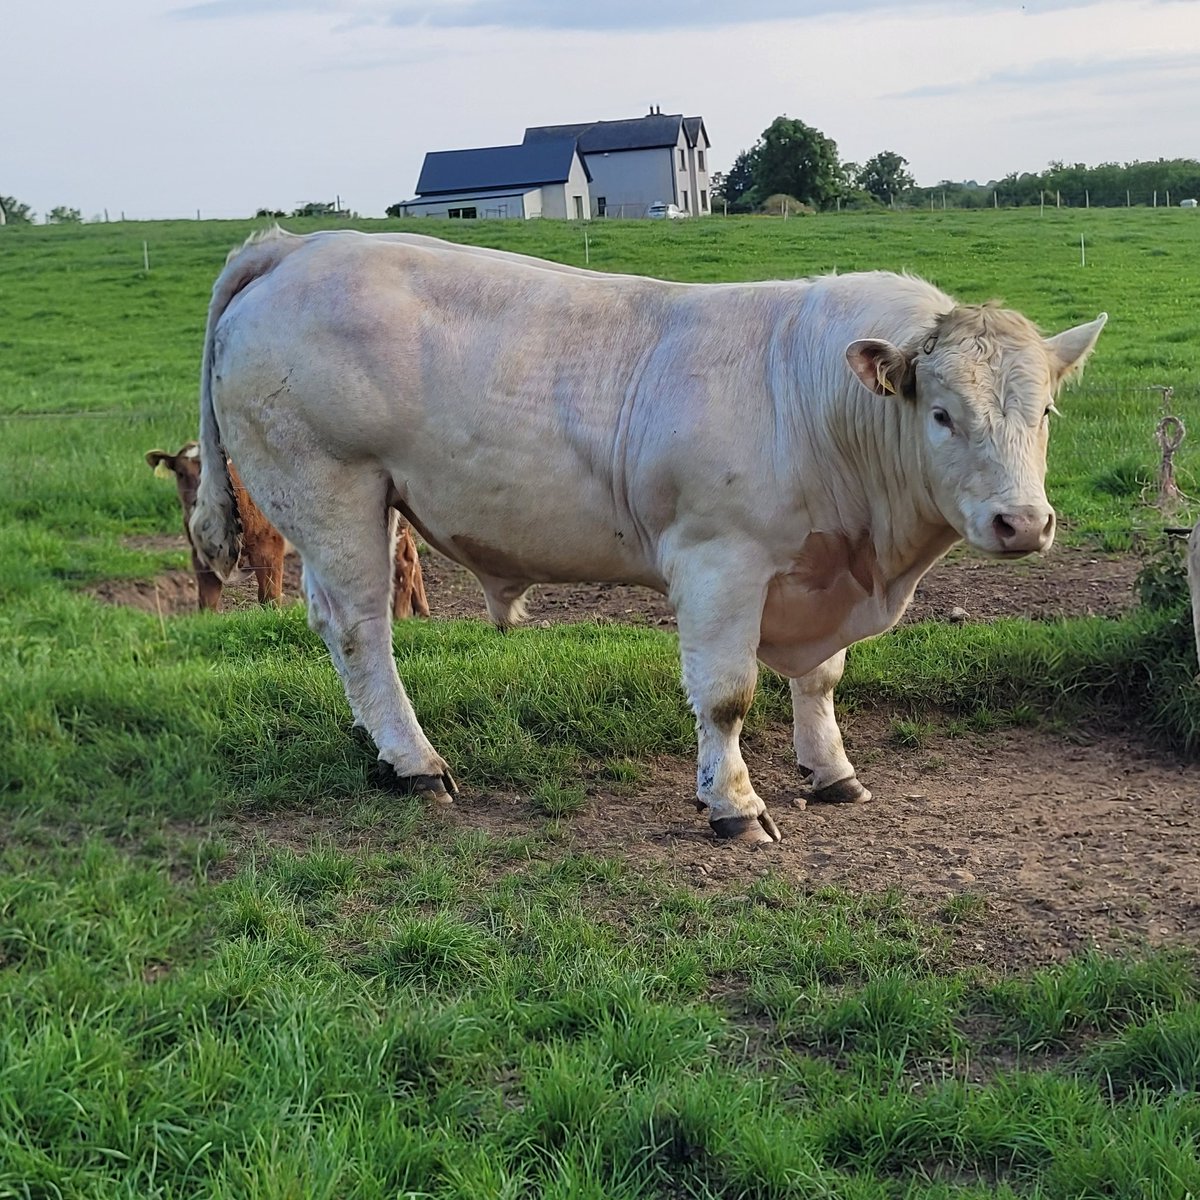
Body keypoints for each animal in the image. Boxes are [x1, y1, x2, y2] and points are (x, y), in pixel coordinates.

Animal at [147, 440, 430, 618]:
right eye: (180, 473)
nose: (199, 499)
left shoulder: (269, 546)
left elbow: (269, 598)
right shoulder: (201, 557)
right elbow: (207, 602)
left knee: (404, 562)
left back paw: (401, 616)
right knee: (411, 556)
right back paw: (421, 610)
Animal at [188, 228, 1106, 843]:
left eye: (1047, 412)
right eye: (942, 414)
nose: (1022, 523)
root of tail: (296, 243)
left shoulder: (819, 574)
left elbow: (822, 679)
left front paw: (830, 771)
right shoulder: (719, 560)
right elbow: (728, 694)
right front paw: (734, 804)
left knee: (330, 622)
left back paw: (376, 746)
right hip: (333, 485)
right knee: (361, 629)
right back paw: (416, 762)